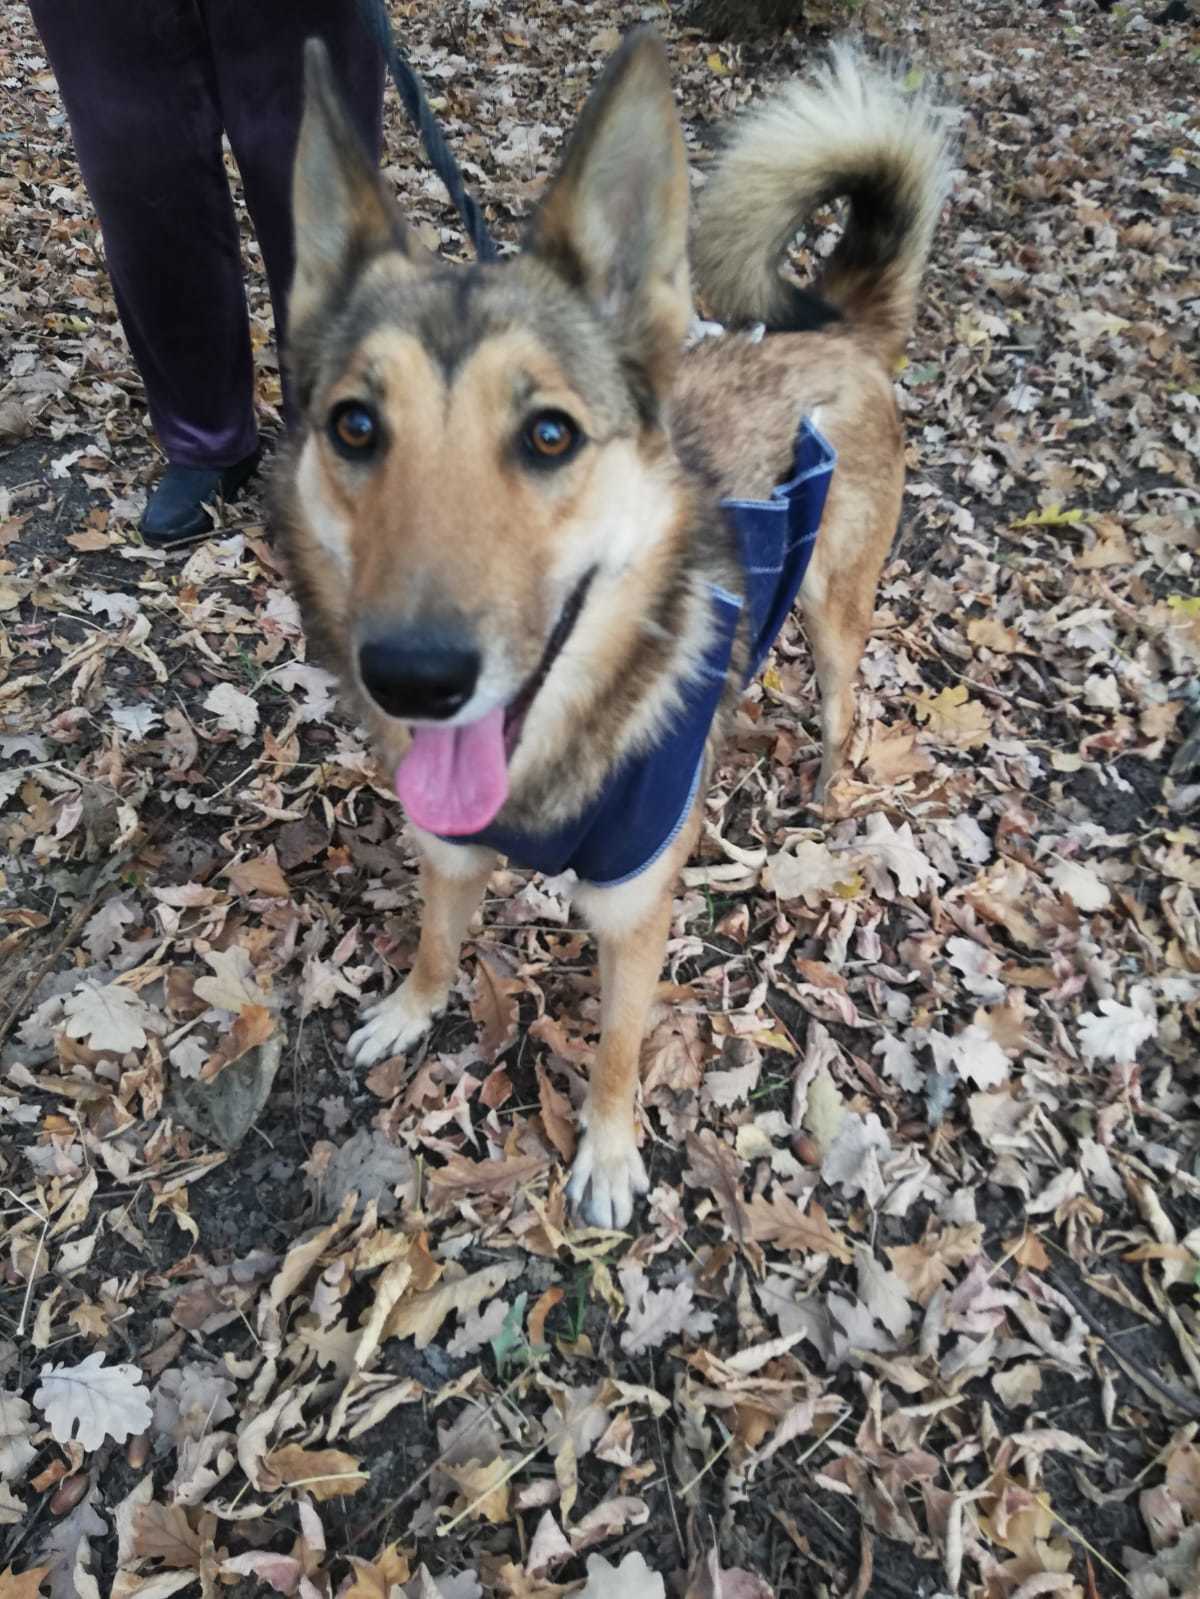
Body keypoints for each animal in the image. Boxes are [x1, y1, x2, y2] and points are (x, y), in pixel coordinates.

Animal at [270, 28, 947, 1221]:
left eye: (549, 435)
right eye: (354, 426)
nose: (414, 676)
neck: (547, 763)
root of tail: (835, 330)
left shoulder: (634, 911)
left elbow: (622, 1044)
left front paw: (612, 1148)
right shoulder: (448, 852)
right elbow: (437, 941)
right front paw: (411, 1007)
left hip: (836, 613)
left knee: (841, 704)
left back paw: (824, 790)